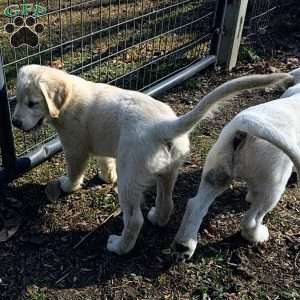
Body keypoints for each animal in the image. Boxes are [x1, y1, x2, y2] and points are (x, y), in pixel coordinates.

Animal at [11, 64, 292, 254]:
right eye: (18, 101)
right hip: (168, 170)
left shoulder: (75, 146)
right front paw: (106, 175)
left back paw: (119, 246)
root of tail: (163, 126)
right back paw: (158, 217)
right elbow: (105, 159)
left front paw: (67, 185)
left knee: (134, 220)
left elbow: (74, 170)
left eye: (33, 103)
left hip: (130, 179)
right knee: (167, 202)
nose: (14, 122)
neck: (68, 100)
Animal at [172, 67, 300, 262]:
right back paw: (257, 235)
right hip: (273, 186)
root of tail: (246, 129)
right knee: (250, 220)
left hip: (217, 173)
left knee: (195, 206)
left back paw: (185, 246)